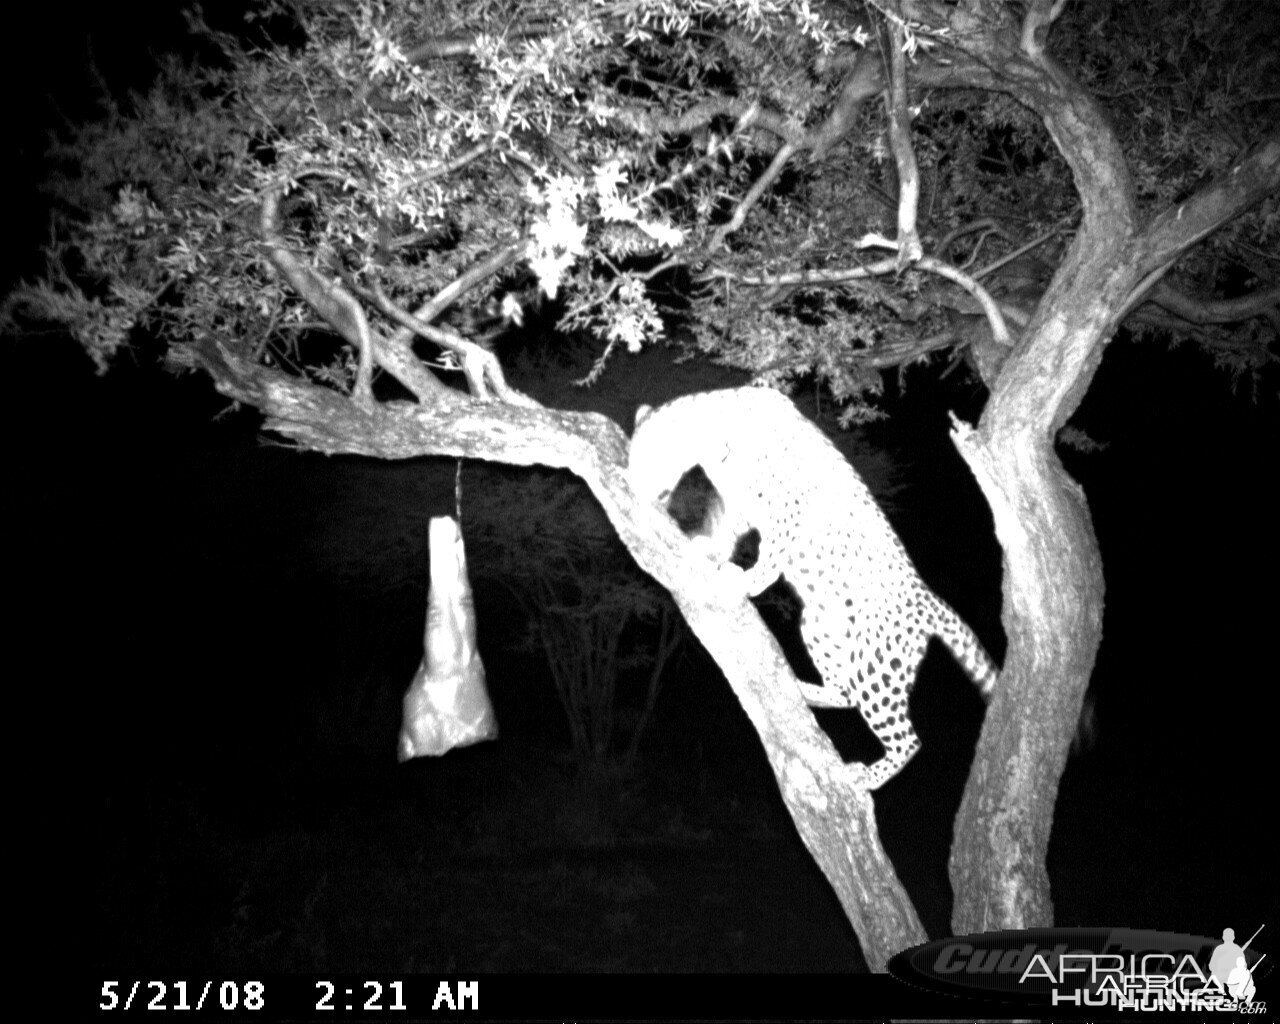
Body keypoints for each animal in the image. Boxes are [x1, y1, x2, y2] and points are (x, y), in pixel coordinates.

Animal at [629, 386, 998, 793]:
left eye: (643, 461)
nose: (632, 488)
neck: (712, 436)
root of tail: (929, 600)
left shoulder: (789, 504)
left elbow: (773, 550)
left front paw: (747, 580)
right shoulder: (739, 505)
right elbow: (727, 530)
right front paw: (709, 548)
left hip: (873, 662)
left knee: (908, 738)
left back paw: (865, 776)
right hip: (821, 625)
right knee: (846, 692)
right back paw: (804, 689)